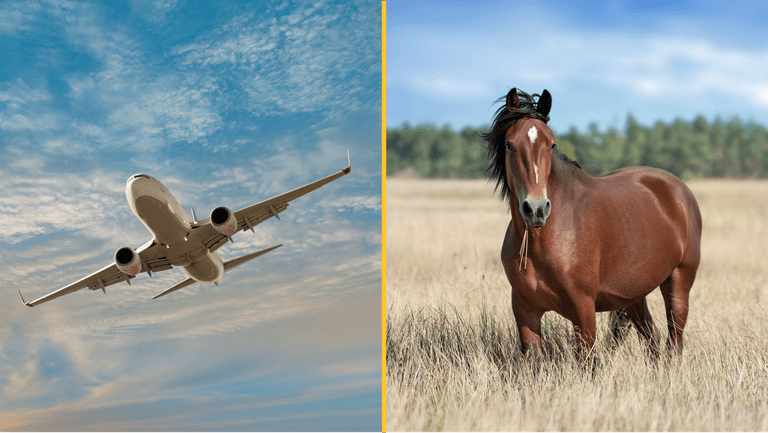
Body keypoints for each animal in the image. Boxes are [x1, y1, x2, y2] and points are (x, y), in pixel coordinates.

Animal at [484, 88, 702, 357]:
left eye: (551, 144)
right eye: (509, 144)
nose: (536, 209)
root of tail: (679, 190)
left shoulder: (583, 309)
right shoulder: (526, 311)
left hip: (679, 282)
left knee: (674, 342)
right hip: (634, 294)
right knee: (652, 338)